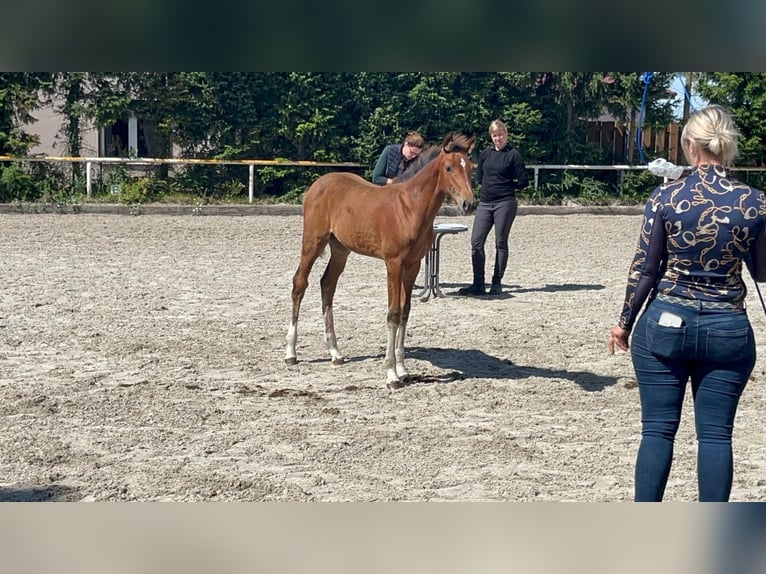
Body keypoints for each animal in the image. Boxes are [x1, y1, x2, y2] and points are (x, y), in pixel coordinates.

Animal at [284, 133, 476, 390]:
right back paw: (291, 353)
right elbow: (393, 313)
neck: (409, 208)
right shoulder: (393, 264)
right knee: (299, 284)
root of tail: (318, 184)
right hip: (313, 242)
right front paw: (391, 374)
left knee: (327, 285)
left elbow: (405, 311)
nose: (469, 204)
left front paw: (403, 370)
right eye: (449, 167)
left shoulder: (413, 265)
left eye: (471, 168)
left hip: (340, 249)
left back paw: (335, 353)